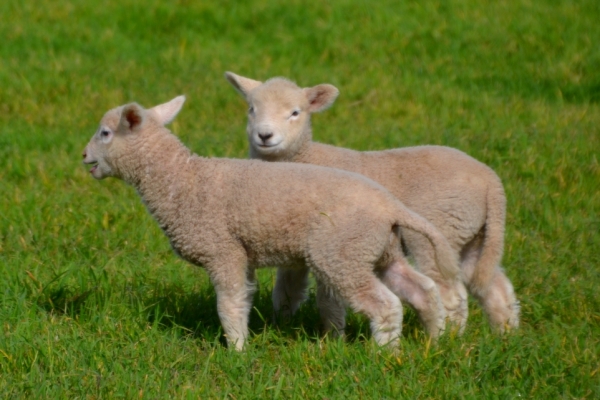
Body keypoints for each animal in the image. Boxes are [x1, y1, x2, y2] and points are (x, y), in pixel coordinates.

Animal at [83, 95, 460, 348]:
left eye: (105, 133)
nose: (84, 157)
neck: (183, 180)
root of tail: (390, 205)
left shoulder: (222, 250)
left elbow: (229, 305)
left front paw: (236, 350)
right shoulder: (241, 255)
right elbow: (244, 299)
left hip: (342, 253)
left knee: (386, 305)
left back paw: (386, 355)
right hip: (379, 249)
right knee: (423, 290)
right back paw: (434, 342)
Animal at [225, 72, 520, 334]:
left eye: (295, 113)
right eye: (251, 109)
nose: (265, 136)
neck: (302, 157)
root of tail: (491, 181)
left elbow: (328, 299)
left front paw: (332, 338)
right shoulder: (290, 239)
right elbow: (287, 291)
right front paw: (280, 325)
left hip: (440, 232)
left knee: (452, 293)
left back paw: (451, 338)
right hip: (473, 233)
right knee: (494, 286)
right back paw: (505, 335)